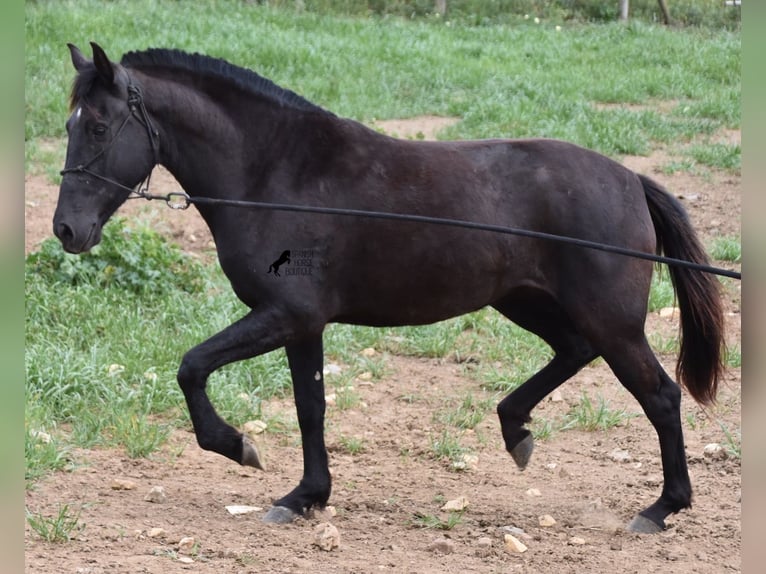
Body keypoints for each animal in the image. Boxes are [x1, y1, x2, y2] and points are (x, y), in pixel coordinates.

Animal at [54, 45, 728, 536]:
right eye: (69, 124)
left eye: (100, 127)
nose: (66, 230)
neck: (275, 175)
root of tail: (631, 179)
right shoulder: (302, 324)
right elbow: (310, 408)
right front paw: (306, 497)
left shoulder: (284, 314)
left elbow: (192, 367)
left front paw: (239, 447)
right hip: (528, 302)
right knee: (572, 352)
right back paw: (516, 432)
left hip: (612, 322)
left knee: (661, 397)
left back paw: (660, 509)